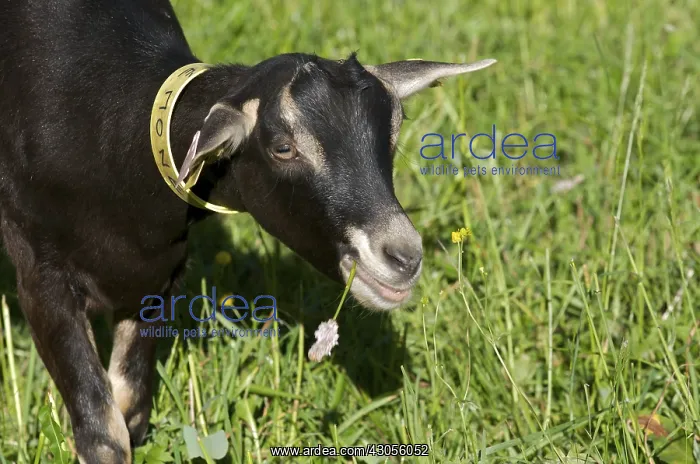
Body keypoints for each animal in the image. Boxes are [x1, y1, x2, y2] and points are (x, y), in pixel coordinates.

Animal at [0, 0, 495, 461]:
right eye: (282, 147)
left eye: (392, 134)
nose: (404, 256)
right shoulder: (41, 272)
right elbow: (105, 432)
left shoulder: (156, 275)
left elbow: (131, 406)